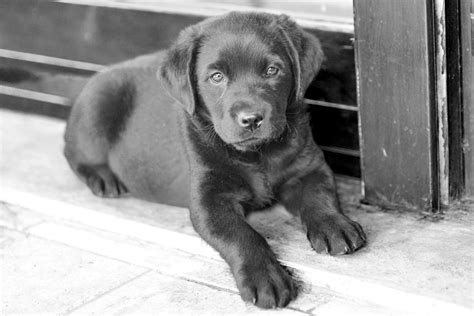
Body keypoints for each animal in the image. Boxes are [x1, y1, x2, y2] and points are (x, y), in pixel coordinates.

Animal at [64, 12, 366, 308]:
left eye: (272, 70)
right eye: (217, 77)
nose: (251, 119)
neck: (257, 154)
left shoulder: (308, 168)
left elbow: (319, 195)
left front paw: (334, 225)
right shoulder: (208, 199)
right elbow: (242, 234)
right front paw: (265, 277)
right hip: (97, 105)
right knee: (72, 151)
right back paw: (103, 179)